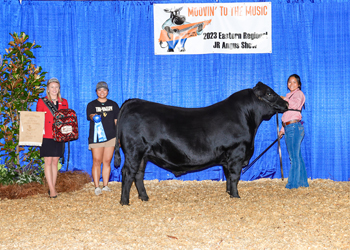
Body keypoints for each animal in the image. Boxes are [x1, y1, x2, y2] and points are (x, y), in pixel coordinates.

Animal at [114, 82, 288, 205]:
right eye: (269, 93)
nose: (286, 104)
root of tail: (133, 102)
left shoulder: (228, 158)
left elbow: (228, 176)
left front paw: (229, 194)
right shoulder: (237, 152)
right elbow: (235, 176)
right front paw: (236, 196)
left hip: (143, 154)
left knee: (138, 174)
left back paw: (144, 198)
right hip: (134, 151)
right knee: (127, 173)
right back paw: (125, 202)